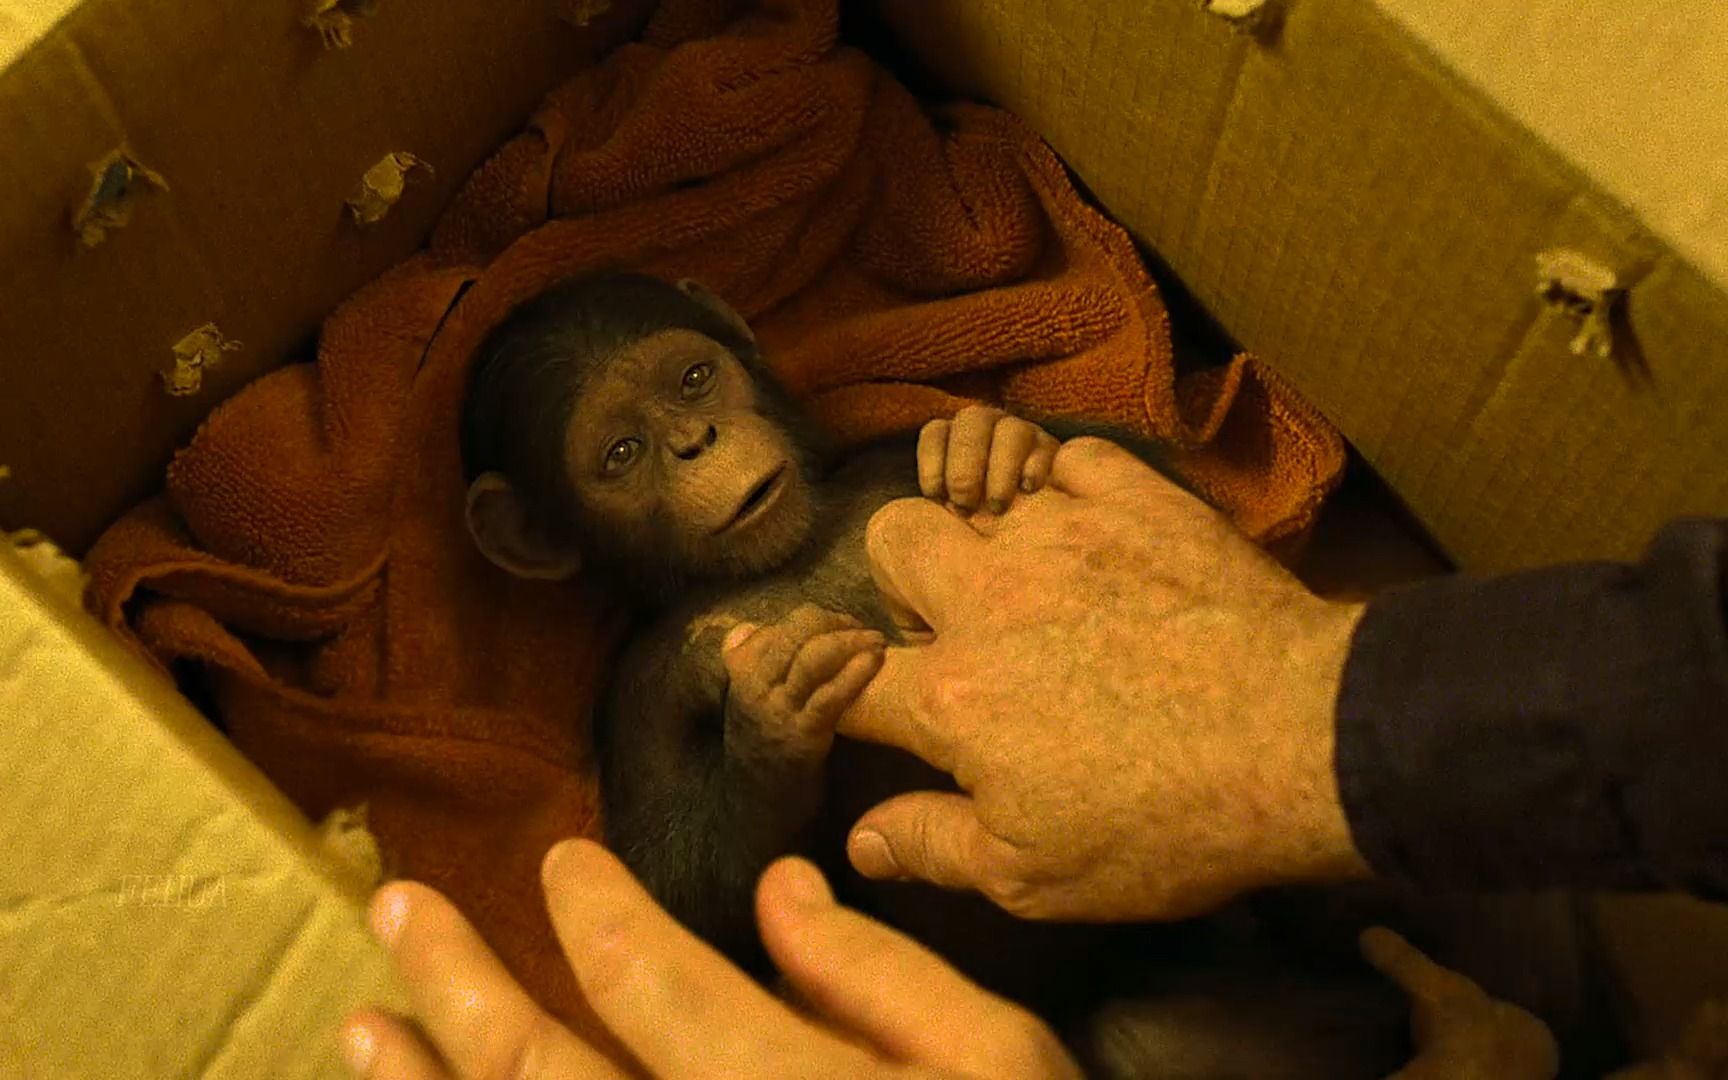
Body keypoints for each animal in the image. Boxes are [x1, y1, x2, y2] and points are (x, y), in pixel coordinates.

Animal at [463, 273, 1416, 1071]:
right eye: (623, 453)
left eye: (694, 378)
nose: (697, 441)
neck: (788, 551)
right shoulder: (632, 698)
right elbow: (684, 916)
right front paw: (770, 711)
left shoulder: (897, 458)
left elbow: (1161, 501)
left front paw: (991, 444)